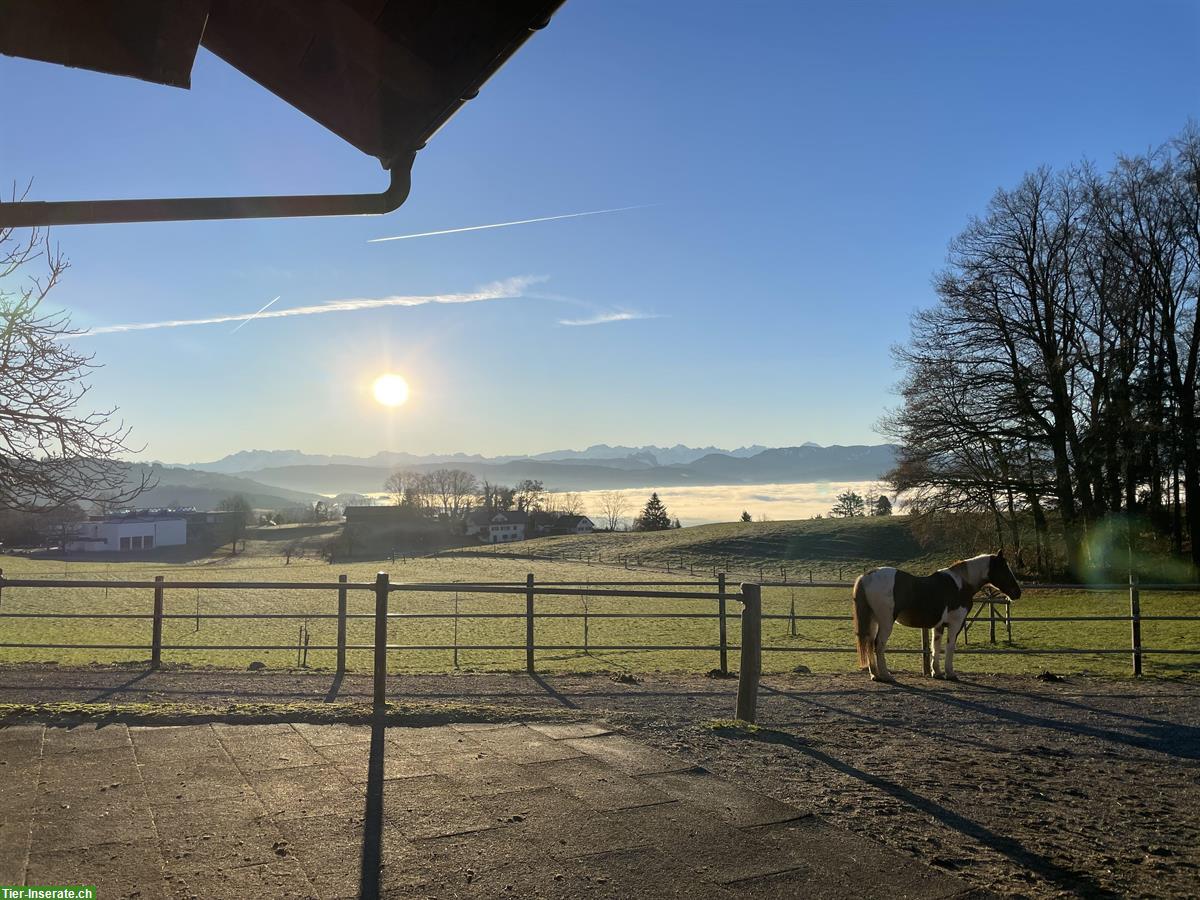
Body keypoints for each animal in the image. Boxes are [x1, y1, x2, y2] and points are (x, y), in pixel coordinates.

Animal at [854, 549, 1022, 681]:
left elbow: (936, 646)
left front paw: (937, 672)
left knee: (869, 642)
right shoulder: (955, 624)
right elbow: (950, 646)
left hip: (873, 620)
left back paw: (875, 675)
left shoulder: (939, 625)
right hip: (886, 622)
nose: (1017, 593)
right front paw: (950, 673)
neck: (961, 584)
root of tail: (867, 576)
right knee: (878, 644)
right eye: (1004, 569)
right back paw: (886, 675)